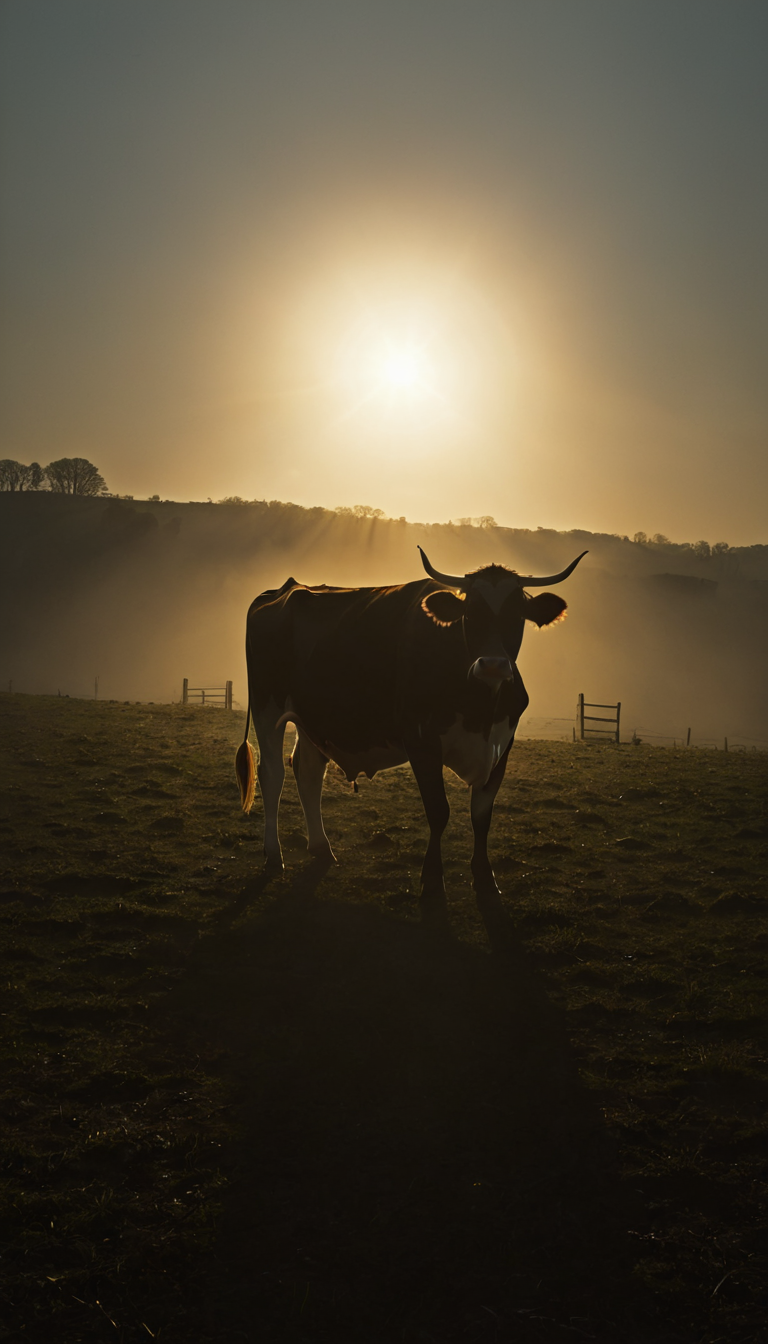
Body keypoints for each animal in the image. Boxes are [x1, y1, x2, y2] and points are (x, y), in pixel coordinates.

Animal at [235, 546, 587, 903]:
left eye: (517, 614)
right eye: (469, 613)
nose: (493, 664)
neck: (481, 710)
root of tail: (281, 591)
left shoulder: (502, 745)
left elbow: (481, 816)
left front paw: (486, 879)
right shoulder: (421, 741)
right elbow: (438, 810)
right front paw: (432, 880)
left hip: (313, 715)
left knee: (307, 770)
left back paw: (321, 848)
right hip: (267, 707)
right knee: (272, 773)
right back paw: (274, 855)